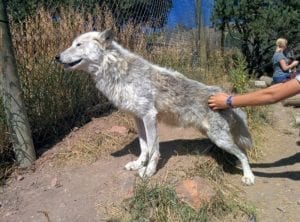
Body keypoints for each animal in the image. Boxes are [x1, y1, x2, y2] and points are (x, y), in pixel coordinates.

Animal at [55, 29, 254, 186]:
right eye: (72, 44)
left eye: (78, 44)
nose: (56, 57)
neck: (119, 72)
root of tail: (222, 93)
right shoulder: (138, 118)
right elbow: (143, 146)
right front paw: (138, 164)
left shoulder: (149, 116)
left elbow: (153, 148)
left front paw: (148, 171)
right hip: (213, 136)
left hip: (220, 138)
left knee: (244, 154)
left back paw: (249, 177)